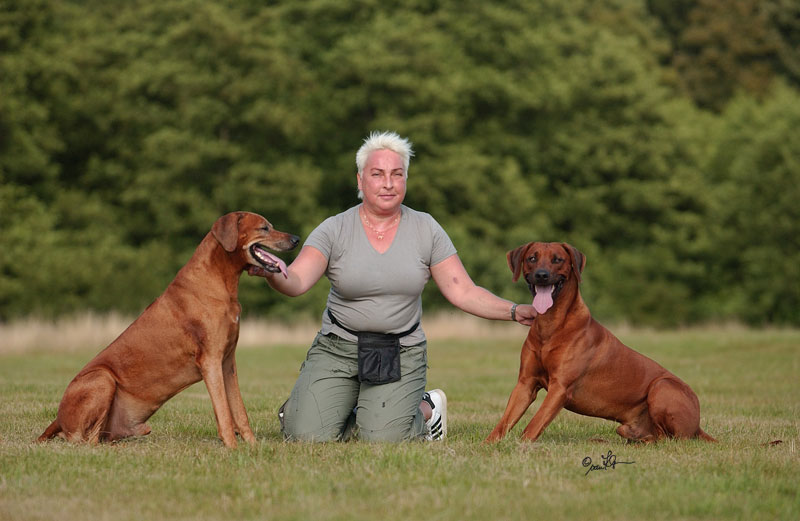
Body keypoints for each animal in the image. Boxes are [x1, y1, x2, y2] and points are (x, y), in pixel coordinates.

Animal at [37, 211, 296, 446]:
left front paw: (252, 447)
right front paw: (232, 449)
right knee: (85, 441)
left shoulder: (227, 362)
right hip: (102, 378)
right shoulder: (211, 360)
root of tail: (57, 420)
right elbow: (223, 412)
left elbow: (239, 410)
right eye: (264, 228)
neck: (219, 281)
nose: (295, 238)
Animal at [484, 241, 716, 442]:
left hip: (662, 387)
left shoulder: (560, 387)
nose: (542, 275)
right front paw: (489, 445)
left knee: (666, 438)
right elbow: (505, 421)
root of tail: (698, 427)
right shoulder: (526, 383)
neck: (550, 325)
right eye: (532, 258)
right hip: (628, 425)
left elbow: (533, 424)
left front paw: (520, 446)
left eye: (558, 260)